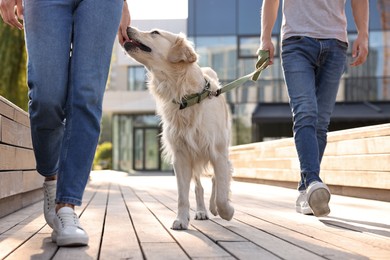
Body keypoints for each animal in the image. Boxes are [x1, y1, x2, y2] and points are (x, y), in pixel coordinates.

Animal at [125, 26, 233, 230]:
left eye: (155, 32)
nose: (127, 27)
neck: (187, 97)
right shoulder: (181, 155)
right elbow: (182, 195)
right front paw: (181, 219)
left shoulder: (217, 152)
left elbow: (222, 193)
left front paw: (225, 211)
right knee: (199, 187)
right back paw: (201, 211)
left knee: (216, 179)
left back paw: (212, 208)